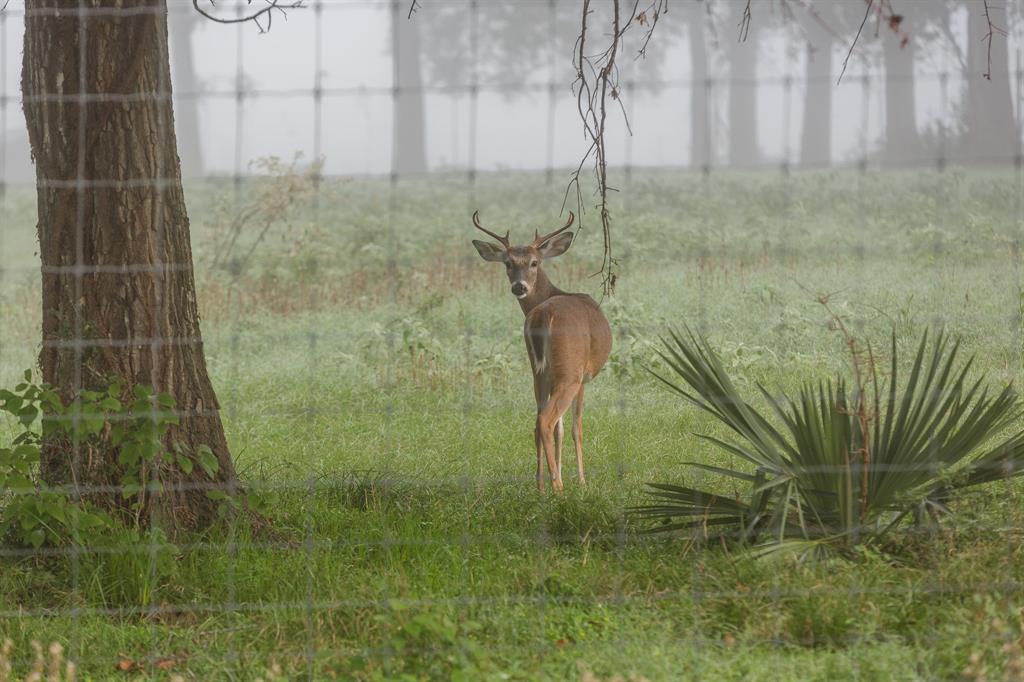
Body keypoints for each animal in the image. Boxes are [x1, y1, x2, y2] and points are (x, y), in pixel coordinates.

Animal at [468, 208, 606, 489]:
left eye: (534, 262)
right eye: (508, 263)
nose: (519, 286)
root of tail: (543, 314)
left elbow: (560, 431)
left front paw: (559, 474)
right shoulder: (584, 376)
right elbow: (575, 428)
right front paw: (582, 482)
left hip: (538, 371)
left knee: (537, 421)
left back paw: (542, 486)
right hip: (569, 371)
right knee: (546, 420)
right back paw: (558, 489)